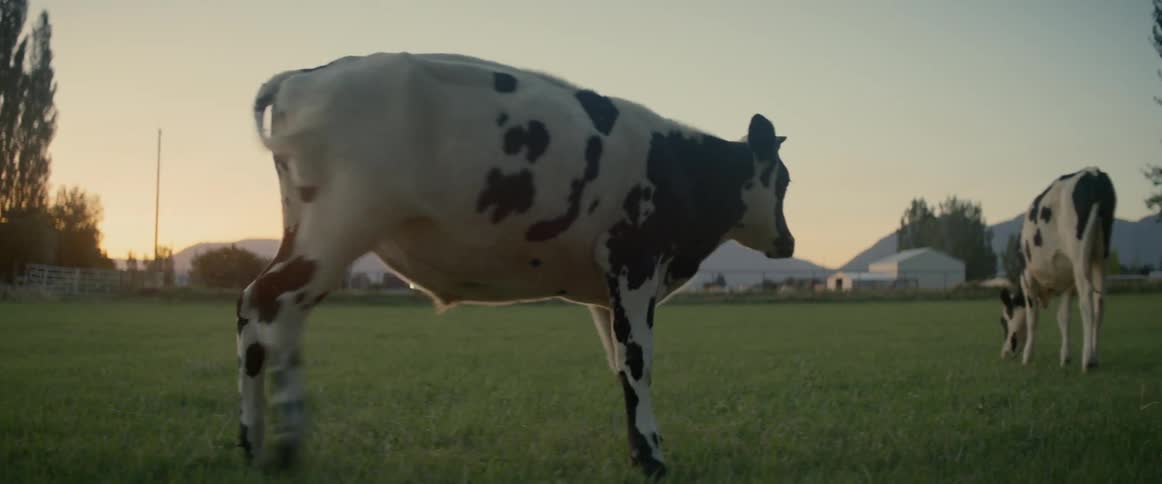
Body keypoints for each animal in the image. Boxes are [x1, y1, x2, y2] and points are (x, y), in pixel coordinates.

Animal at [237, 52, 796, 477]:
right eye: (785, 180)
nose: (789, 242)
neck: (682, 165)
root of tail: (304, 74)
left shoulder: (606, 288)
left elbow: (619, 363)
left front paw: (640, 452)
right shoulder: (635, 262)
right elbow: (639, 362)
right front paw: (653, 458)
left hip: (309, 233)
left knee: (271, 317)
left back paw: (265, 443)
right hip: (334, 230)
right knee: (264, 305)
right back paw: (272, 441)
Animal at [998, 167, 1115, 372]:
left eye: (1004, 320)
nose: (1004, 353)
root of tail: (1094, 173)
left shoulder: (1026, 277)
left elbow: (1032, 318)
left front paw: (1027, 356)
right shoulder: (1067, 281)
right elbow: (1063, 317)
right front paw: (1065, 357)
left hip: (1080, 254)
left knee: (1086, 299)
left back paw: (1087, 360)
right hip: (1101, 255)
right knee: (1099, 300)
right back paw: (1094, 356)